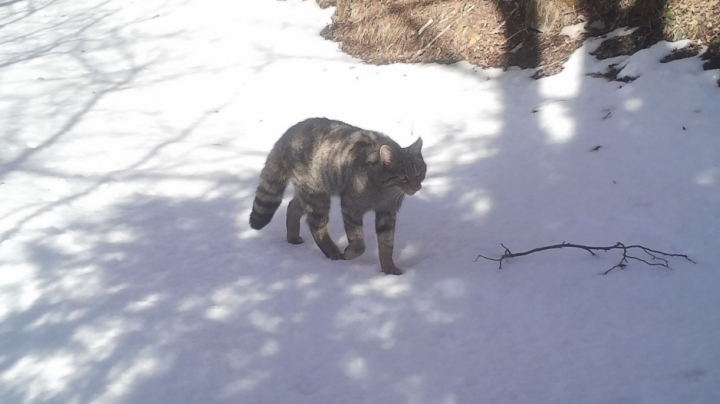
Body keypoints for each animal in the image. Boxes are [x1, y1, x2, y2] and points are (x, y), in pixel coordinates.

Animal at [249, 117, 424, 274]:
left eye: (420, 173)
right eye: (402, 177)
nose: (417, 186)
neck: (384, 192)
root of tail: (287, 134)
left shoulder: (387, 213)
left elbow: (386, 244)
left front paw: (389, 269)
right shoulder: (350, 207)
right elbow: (359, 242)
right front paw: (350, 253)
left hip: (312, 192)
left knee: (292, 206)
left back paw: (293, 237)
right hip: (317, 197)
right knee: (317, 228)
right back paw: (333, 252)